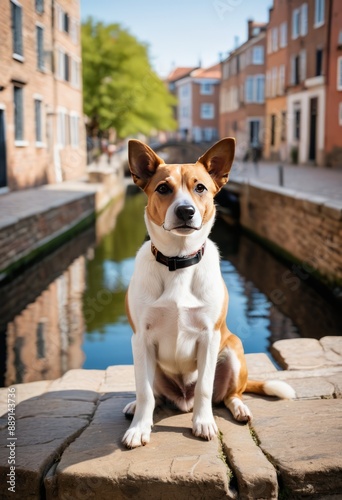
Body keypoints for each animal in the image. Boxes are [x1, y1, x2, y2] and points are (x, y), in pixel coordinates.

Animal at [121, 138, 296, 450]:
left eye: (200, 187)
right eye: (163, 188)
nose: (185, 211)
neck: (178, 260)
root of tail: (183, 400)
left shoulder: (209, 336)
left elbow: (204, 387)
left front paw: (203, 423)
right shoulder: (141, 338)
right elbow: (145, 392)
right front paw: (139, 427)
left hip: (233, 349)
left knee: (228, 395)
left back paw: (239, 408)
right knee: (155, 394)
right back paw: (135, 408)